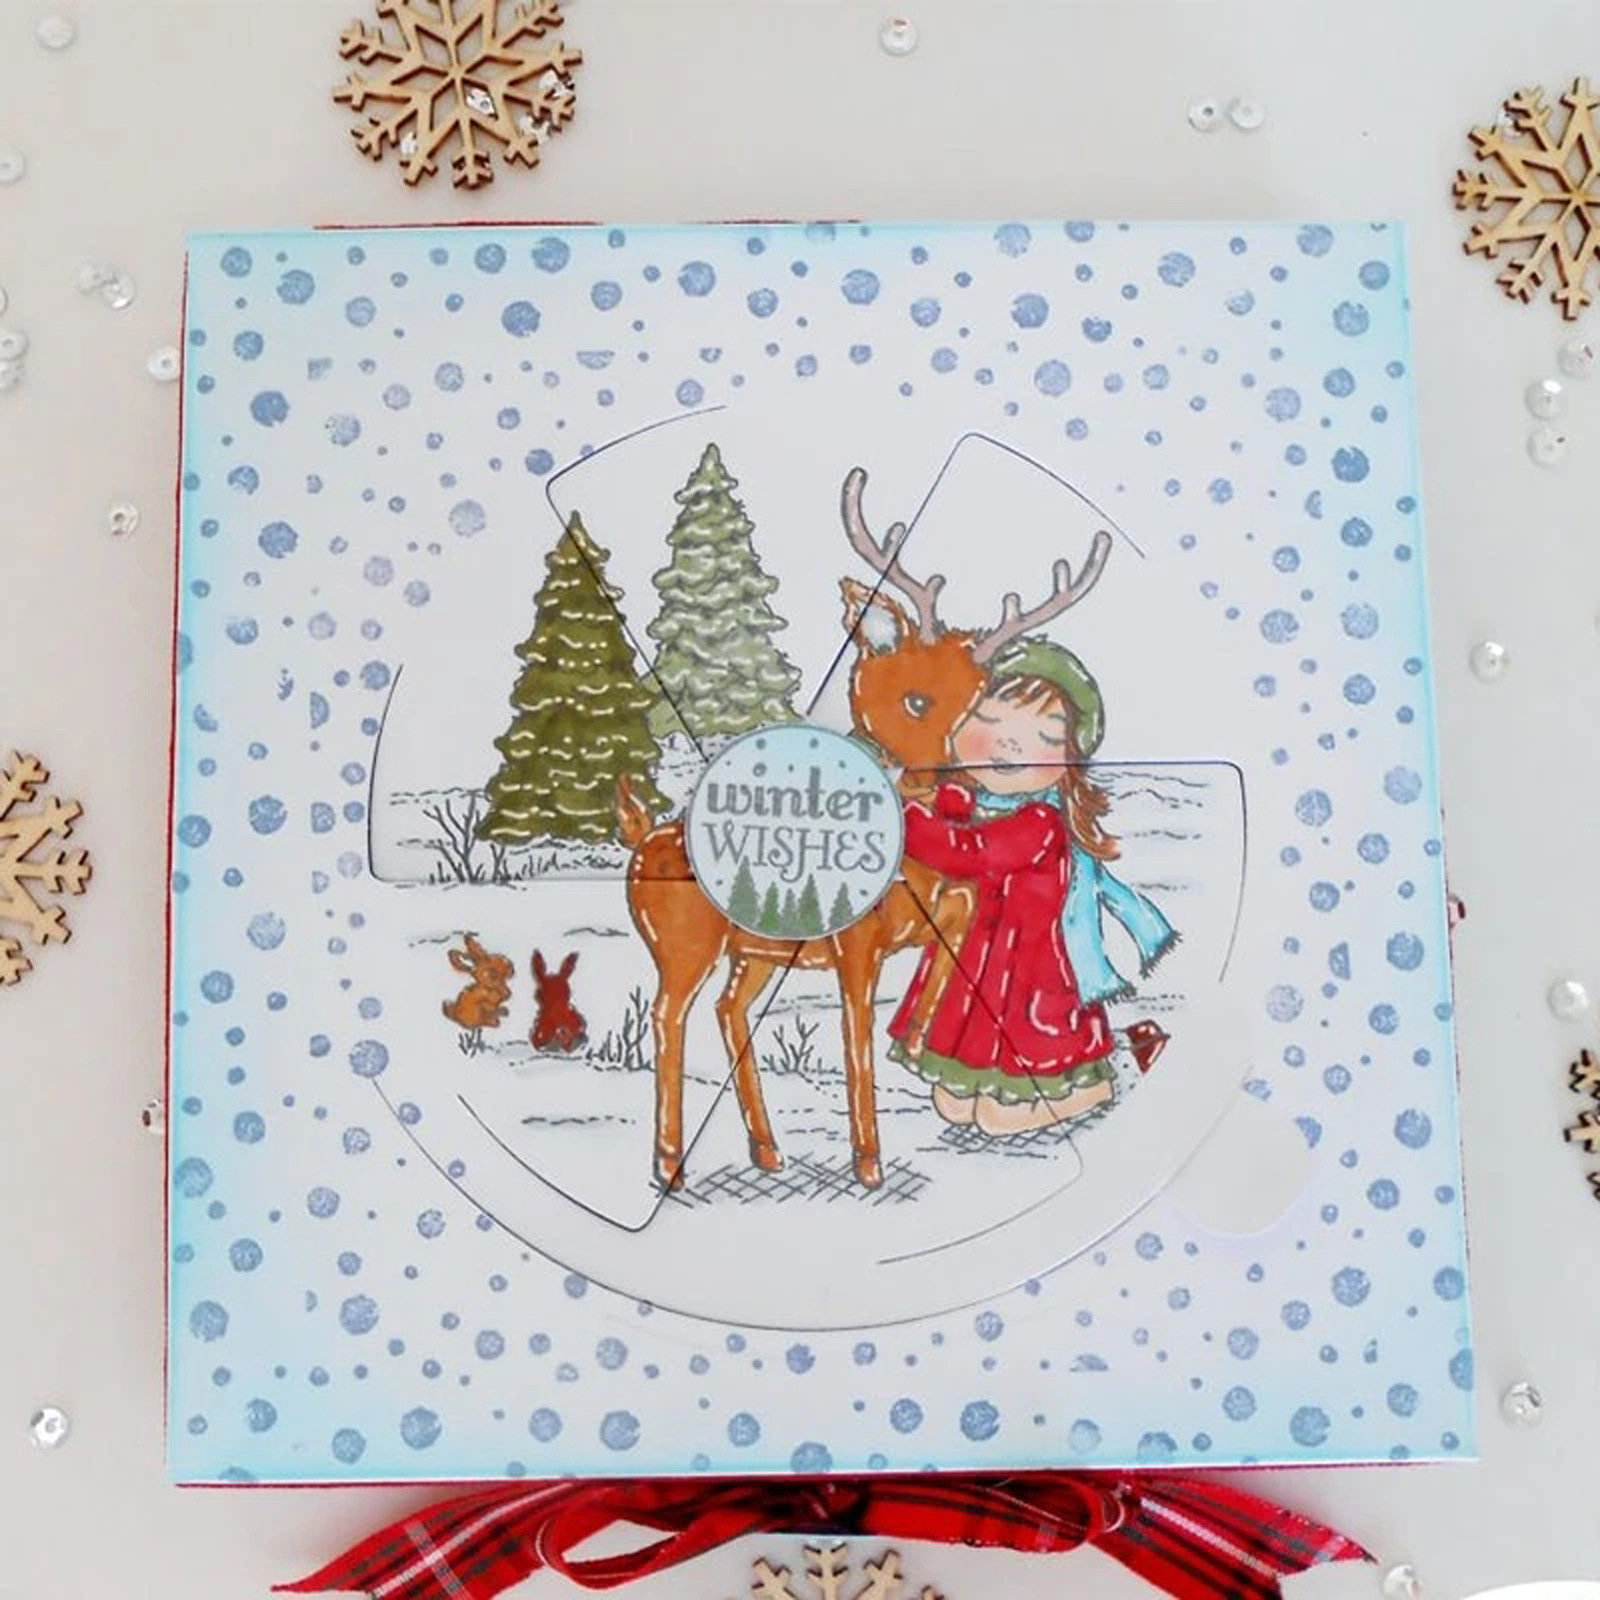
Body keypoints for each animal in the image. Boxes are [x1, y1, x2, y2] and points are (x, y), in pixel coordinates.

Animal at [616, 465, 1113, 1191]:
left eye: (980, 702)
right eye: (916, 700)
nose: (954, 778)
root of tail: (639, 839)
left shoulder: (943, 916)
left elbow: (950, 960)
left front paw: (922, 1041)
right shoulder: (854, 946)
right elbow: (856, 1039)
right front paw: (869, 1162)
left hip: (754, 951)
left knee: (728, 1010)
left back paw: (766, 1149)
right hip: (685, 944)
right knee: (666, 1016)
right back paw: (670, 1163)